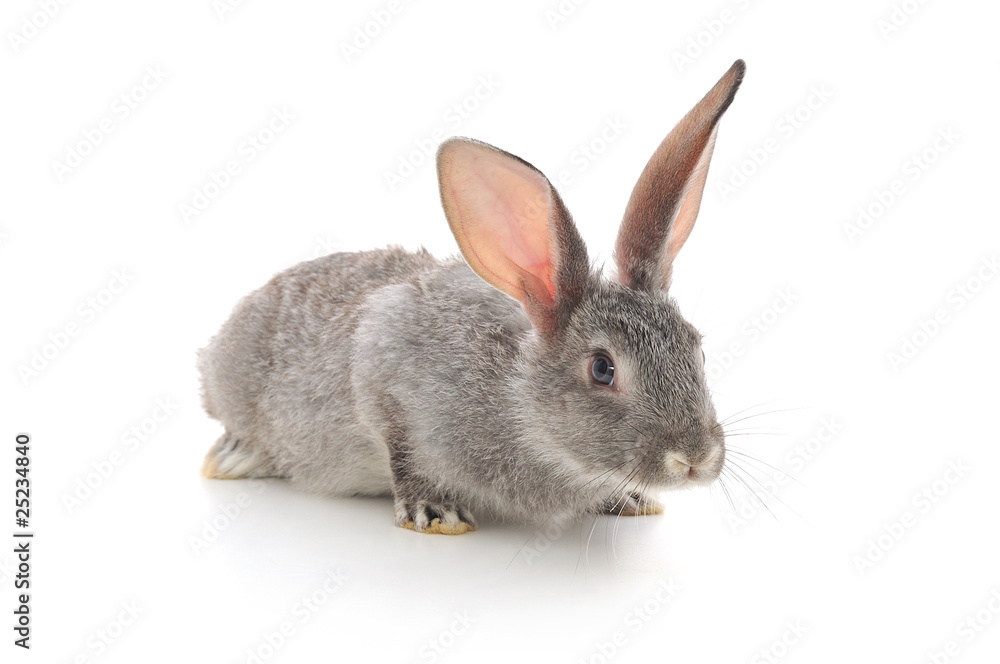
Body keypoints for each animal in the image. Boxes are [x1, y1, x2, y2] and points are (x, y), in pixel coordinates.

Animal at [198, 60, 745, 534]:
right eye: (602, 369)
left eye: (697, 350)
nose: (695, 458)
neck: (520, 400)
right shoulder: (385, 372)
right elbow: (404, 453)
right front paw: (437, 513)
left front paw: (627, 498)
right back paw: (234, 456)